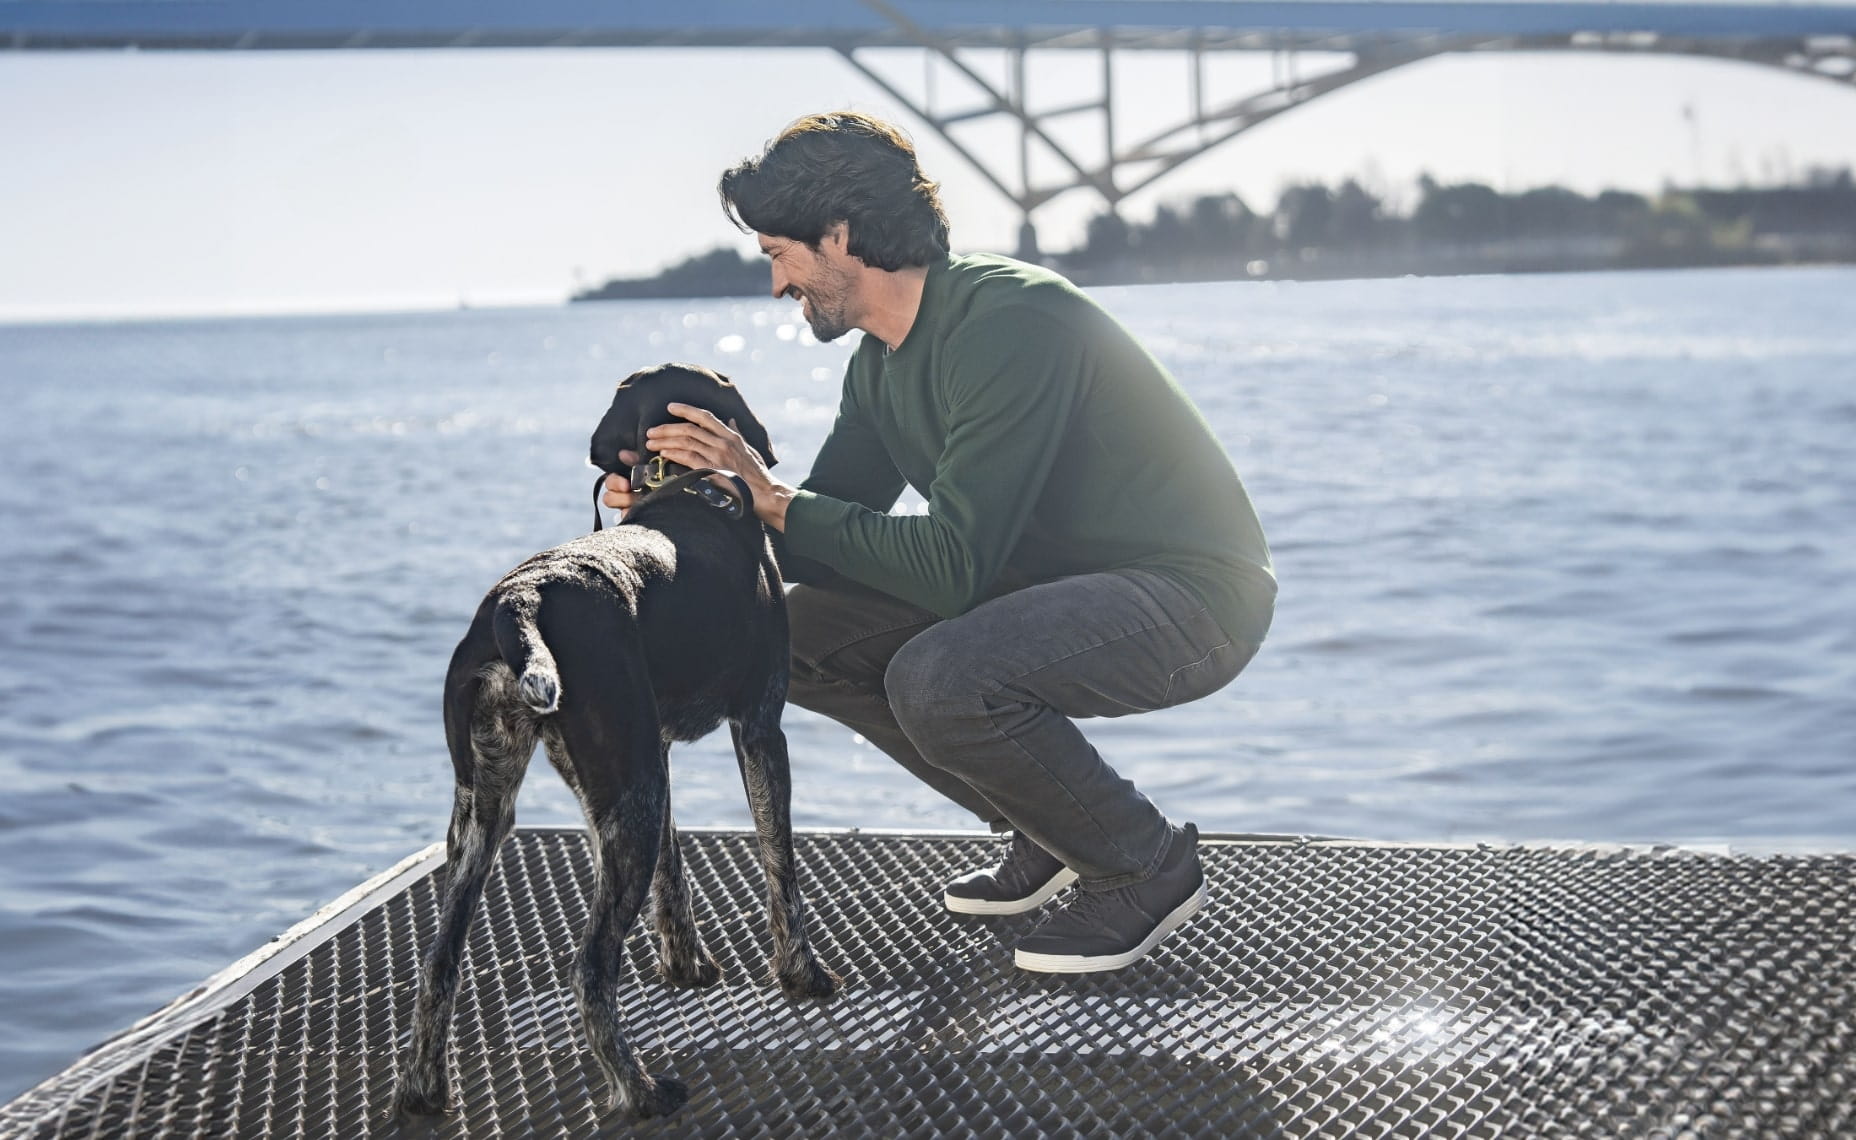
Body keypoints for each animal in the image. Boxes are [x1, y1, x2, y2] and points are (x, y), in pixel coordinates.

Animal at [395, 365, 838, 1128]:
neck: (686, 487)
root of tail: (521, 600)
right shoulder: (759, 728)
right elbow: (780, 864)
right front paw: (802, 974)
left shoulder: (652, 753)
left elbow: (673, 864)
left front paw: (687, 964)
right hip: (619, 797)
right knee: (591, 967)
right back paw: (640, 1090)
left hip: (487, 813)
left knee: (440, 959)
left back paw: (424, 1090)